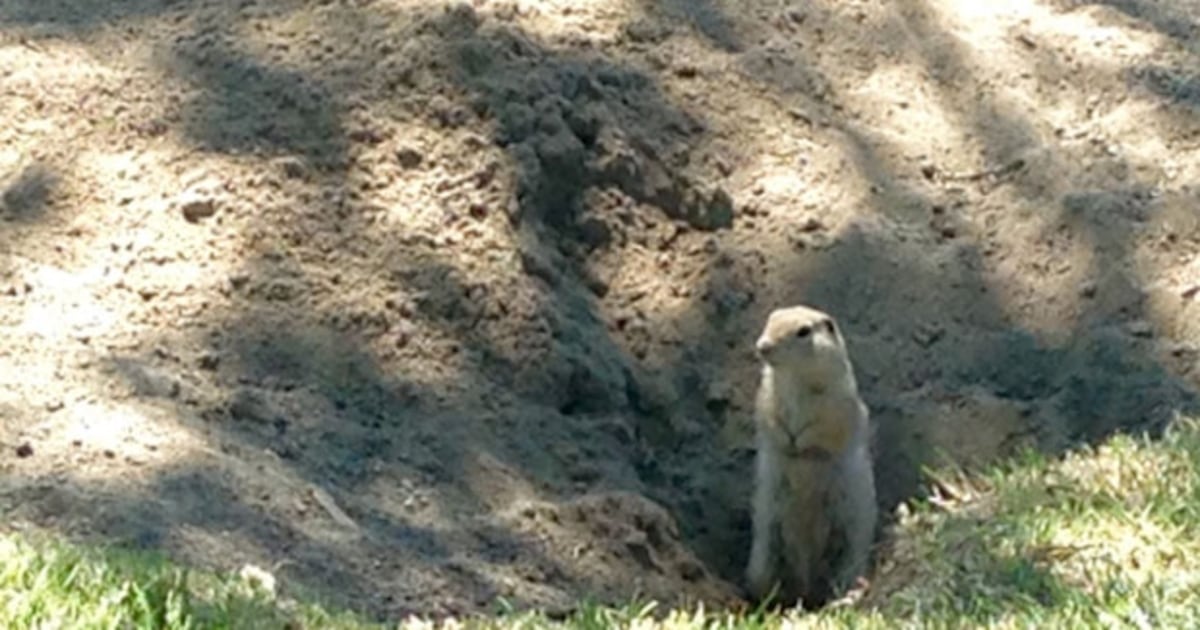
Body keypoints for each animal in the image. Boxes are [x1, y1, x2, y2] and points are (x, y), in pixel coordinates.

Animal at [744, 304, 877, 609]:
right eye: (771, 318)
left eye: (803, 331)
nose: (762, 346)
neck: (794, 377)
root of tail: (805, 589)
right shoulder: (766, 395)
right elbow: (769, 418)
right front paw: (786, 440)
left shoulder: (837, 404)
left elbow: (824, 427)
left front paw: (799, 442)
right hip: (767, 554)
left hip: (846, 551)